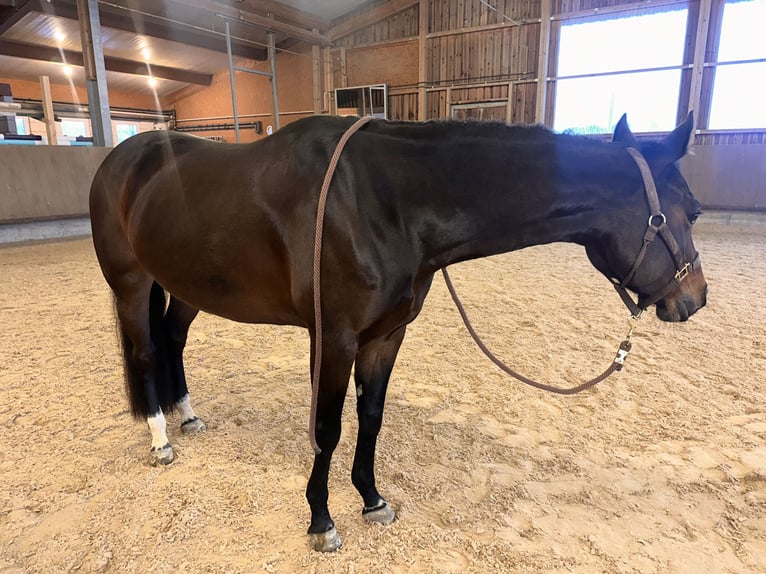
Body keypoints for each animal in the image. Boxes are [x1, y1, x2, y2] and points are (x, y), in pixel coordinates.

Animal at [88, 112, 707, 552]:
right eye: (694, 210)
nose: (694, 299)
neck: (385, 201)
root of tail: (123, 158)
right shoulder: (333, 339)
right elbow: (328, 428)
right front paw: (321, 520)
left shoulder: (385, 338)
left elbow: (371, 418)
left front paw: (371, 499)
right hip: (131, 284)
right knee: (144, 353)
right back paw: (161, 440)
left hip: (189, 290)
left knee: (172, 340)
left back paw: (188, 415)